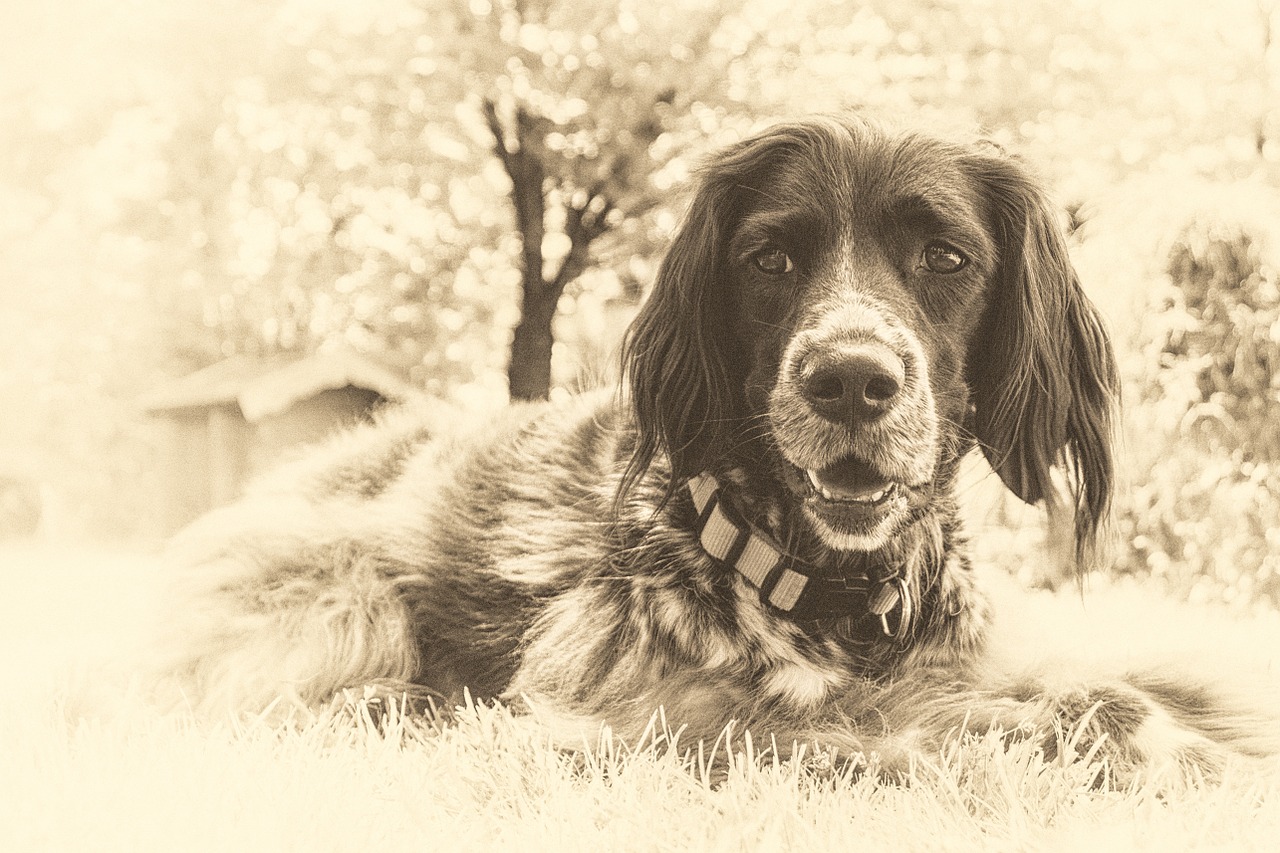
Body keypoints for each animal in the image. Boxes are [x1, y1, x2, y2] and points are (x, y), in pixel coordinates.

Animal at [157, 116, 1269, 778]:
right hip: (345, 586)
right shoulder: (644, 713)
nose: (849, 379)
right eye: (768, 258)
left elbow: (1144, 678)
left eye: (945, 257)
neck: (841, 602)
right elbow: (922, 725)